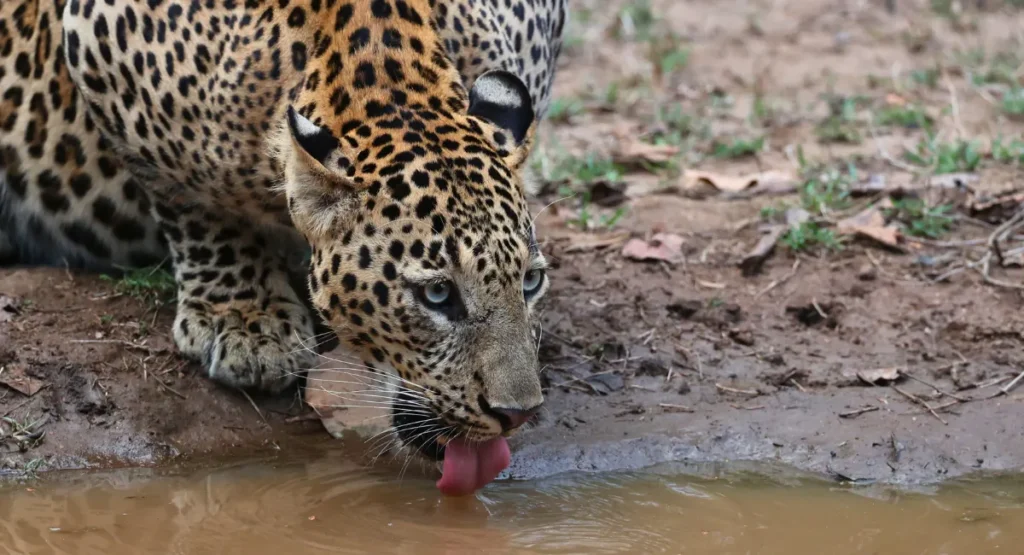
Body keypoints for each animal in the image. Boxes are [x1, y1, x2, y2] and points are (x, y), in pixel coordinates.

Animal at [0, 0, 567, 490]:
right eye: (437, 295)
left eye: (530, 281)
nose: (517, 414)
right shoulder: (100, 45)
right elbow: (189, 202)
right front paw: (245, 321)